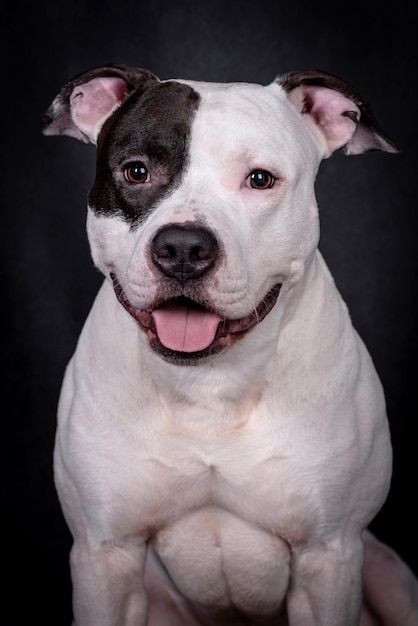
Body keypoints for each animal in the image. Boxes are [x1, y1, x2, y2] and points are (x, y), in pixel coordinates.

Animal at [42, 64, 418, 624]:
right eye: (136, 171)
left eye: (259, 179)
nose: (182, 248)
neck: (208, 387)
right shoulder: (105, 553)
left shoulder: (329, 555)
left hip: (389, 573)